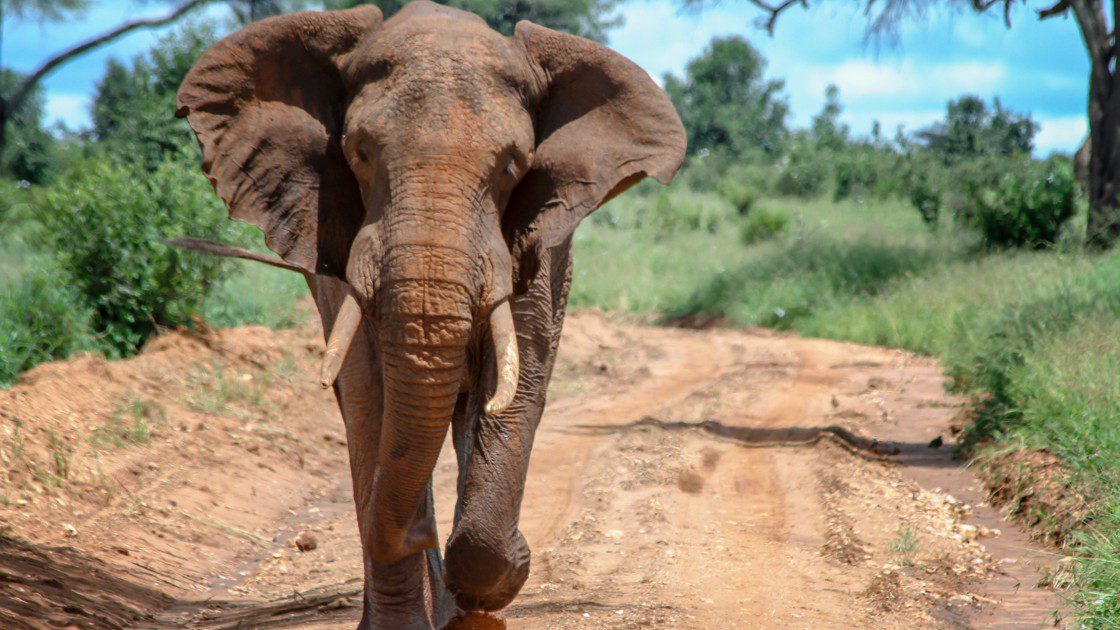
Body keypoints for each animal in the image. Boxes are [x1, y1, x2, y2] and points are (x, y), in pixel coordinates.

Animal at [174, 2, 680, 623]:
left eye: (512, 167)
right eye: (360, 153)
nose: (422, 536)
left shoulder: (539, 245)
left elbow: (516, 386)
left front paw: (493, 586)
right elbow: (368, 393)